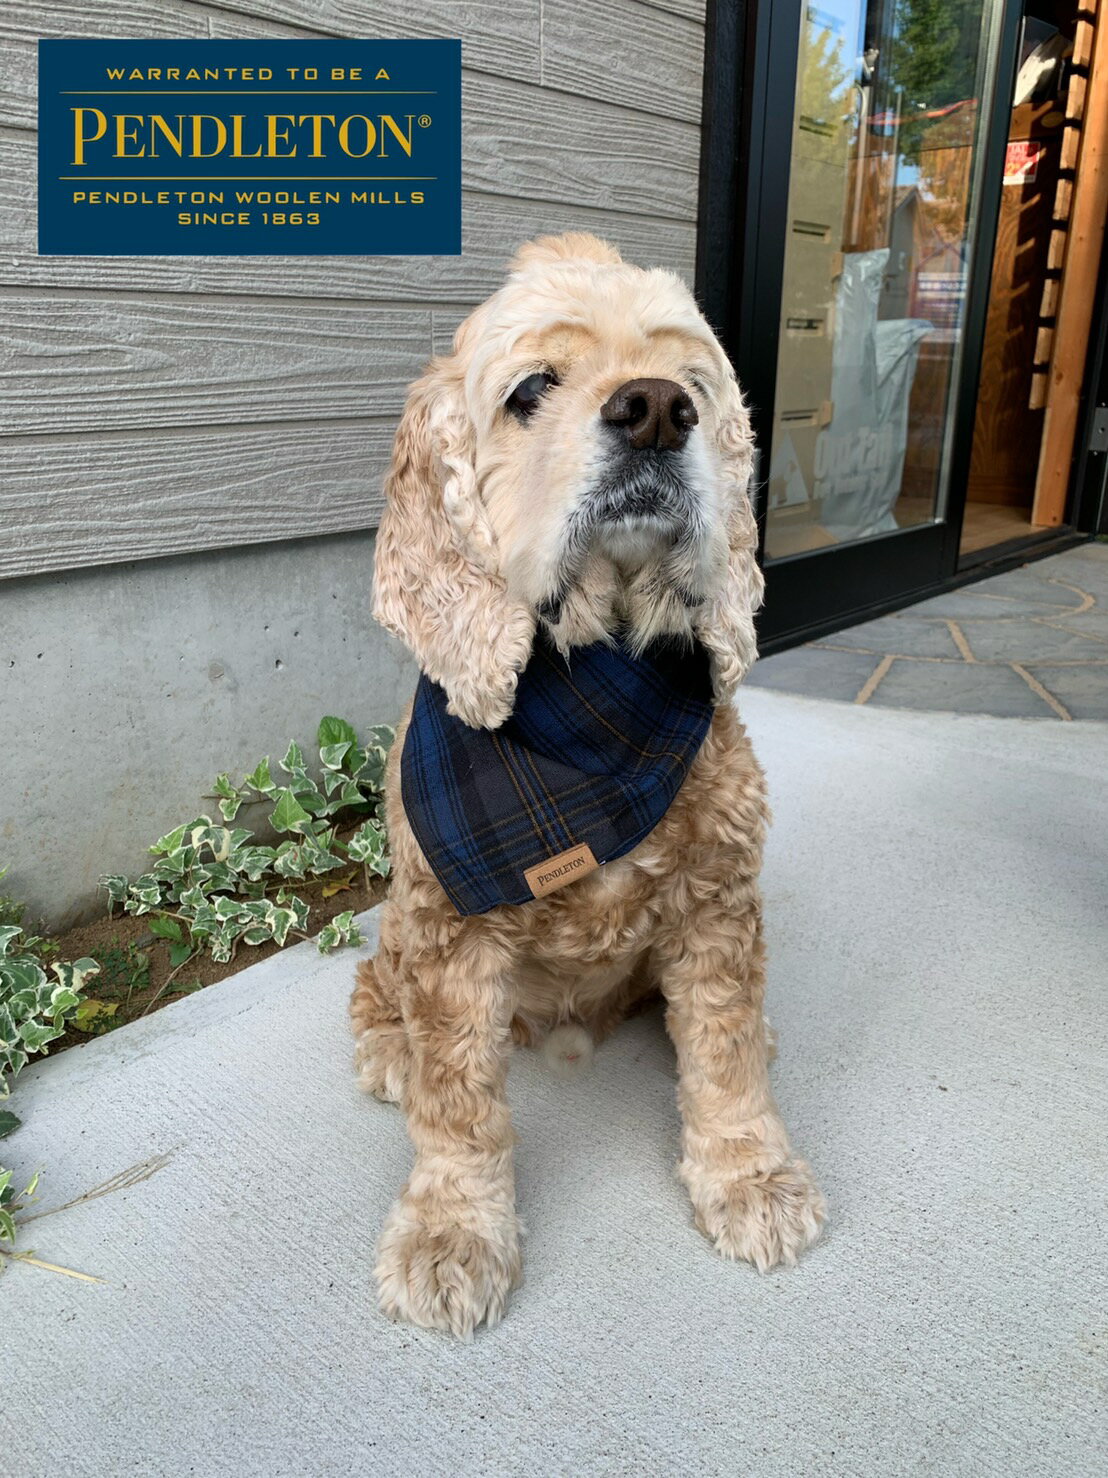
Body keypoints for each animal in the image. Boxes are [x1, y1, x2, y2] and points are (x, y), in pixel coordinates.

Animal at [351, 230, 827, 1342]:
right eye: (532, 388)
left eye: (693, 382)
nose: (656, 409)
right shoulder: (450, 930)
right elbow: (457, 1102)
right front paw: (452, 1232)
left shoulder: (717, 902)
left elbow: (723, 1048)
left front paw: (750, 1176)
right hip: (401, 913)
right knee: (374, 984)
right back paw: (388, 1048)